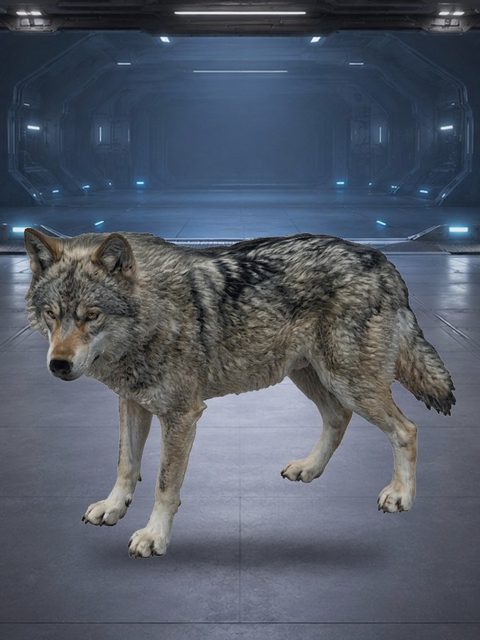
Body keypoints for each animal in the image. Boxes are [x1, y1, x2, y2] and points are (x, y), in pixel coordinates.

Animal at [24, 229, 455, 558]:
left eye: (91, 316)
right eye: (52, 314)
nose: (58, 364)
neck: (154, 312)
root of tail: (382, 261)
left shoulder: (181, 415)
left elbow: (165, 485)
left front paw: (153, 536)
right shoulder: (131, 402)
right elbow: (125, 465)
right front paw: (113, 507)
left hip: (350, 383)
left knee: (407, 429)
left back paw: (400, 496)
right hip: (312, 378)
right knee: (338, 419)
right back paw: (309, 468)